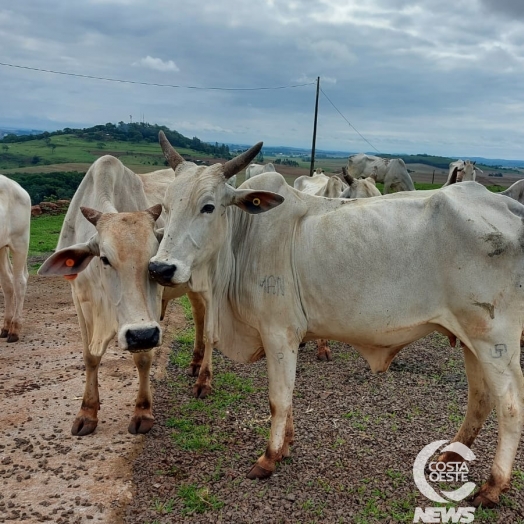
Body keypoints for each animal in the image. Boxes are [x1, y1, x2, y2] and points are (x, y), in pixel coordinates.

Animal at [148, 131, 524, 508]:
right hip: (472, 339)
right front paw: (286, 445)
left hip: (495, 340)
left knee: (510, 407)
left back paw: (493, 486)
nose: (160, 268)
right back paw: (451, 455)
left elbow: (278, 399)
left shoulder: (278, 333)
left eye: (208, 206)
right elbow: (288, 397)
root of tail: (509, 207)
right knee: (480, 397)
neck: (244, 239)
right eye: (166, 205)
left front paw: (268, 457)